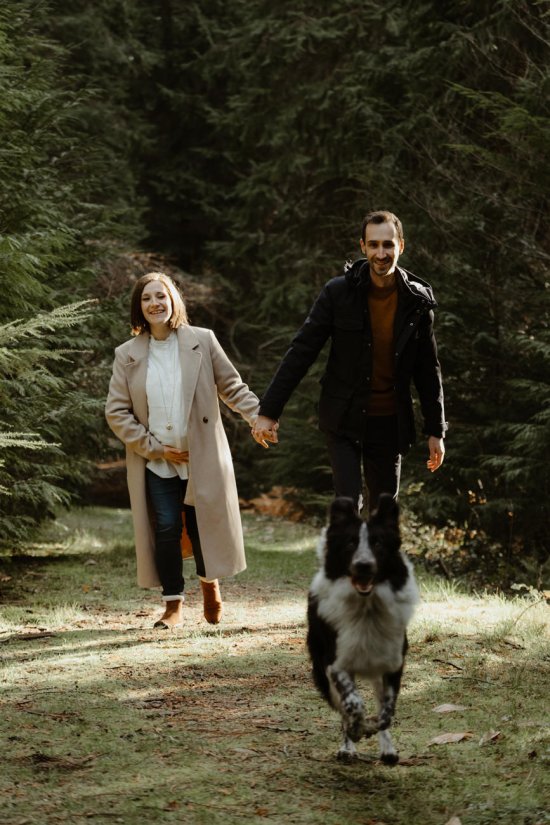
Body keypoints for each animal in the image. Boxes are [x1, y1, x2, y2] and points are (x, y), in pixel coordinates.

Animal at [308, 492, 420, 764]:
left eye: (378, 544)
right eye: (350, 544)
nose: (363, 565)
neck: (367, 608)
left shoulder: (392, 664)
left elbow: (386, 713)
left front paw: (375, 732)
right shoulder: (335, 664)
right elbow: (353, 704)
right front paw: (356, 730)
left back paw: (387, 750)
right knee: (343, 708)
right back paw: (348, 745)